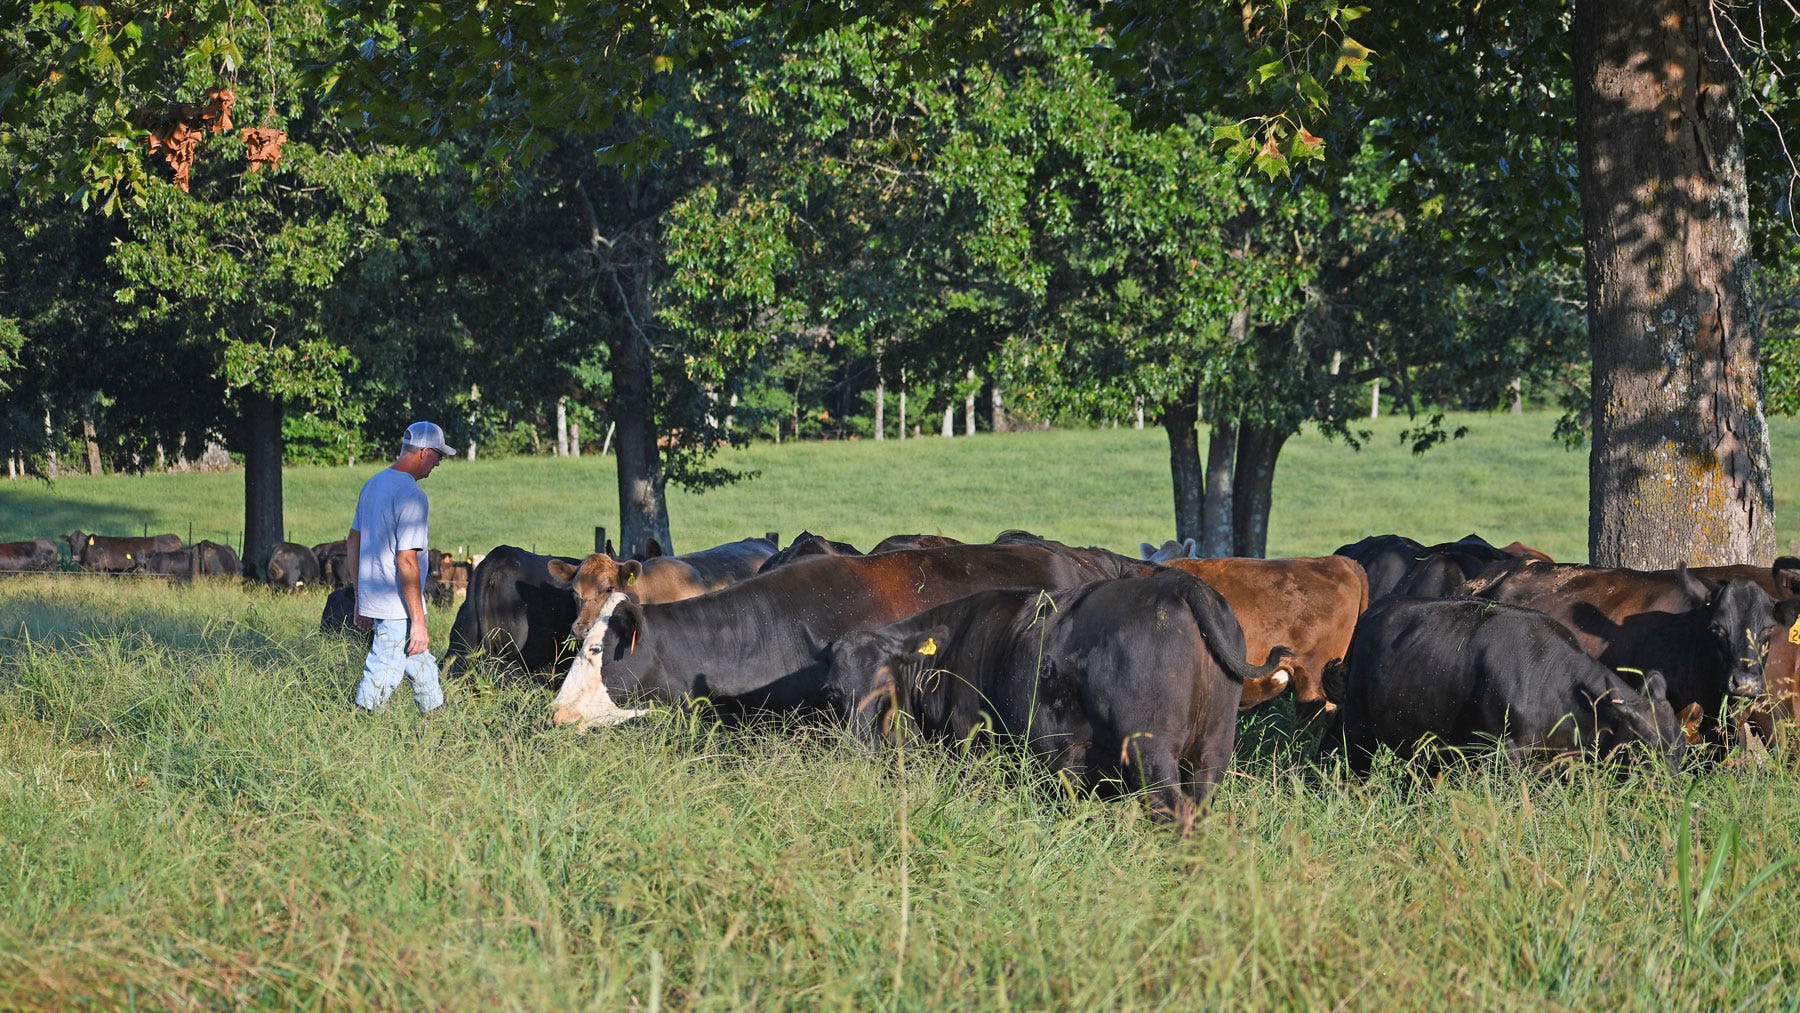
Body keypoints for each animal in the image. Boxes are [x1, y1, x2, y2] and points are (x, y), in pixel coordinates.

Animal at [828, 572, 1296, 824]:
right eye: (834, 693)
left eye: (883, 683)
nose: (859, 745)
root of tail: (1178, 581)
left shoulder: (972, 746)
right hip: (1213, 746)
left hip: (1151, 749)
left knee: (1170, 808)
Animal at [1332, 593, 1692, 777]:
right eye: (1646, 752)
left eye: (1680, 749)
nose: (1671, 796)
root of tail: (1375, 611)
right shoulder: (1506, 755)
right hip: (1358, 726)